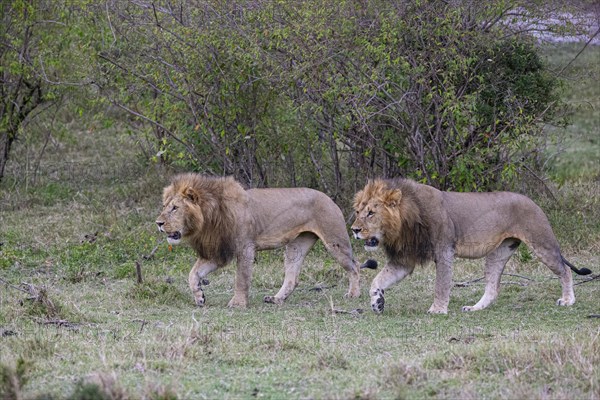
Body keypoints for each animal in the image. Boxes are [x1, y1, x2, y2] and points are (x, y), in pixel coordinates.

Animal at [156, 173, 366, 308]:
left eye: (175, 208)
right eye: (165, 206)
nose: (158, 223)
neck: (209, 217)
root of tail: (329, 198)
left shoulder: (245, 248)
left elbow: (241, 279)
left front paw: (238, 303)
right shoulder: (218, 252)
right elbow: (193, 274)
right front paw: (200, 297)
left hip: (335, 241)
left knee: (355, 266)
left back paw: (354, 294)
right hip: (296, 246)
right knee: (292, 277)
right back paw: (276, 299)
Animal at [352, 177, 592, 312]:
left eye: (371, 213)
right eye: (358, 211)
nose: (354, 230)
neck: (405, 223)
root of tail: (533, 202)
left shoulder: (444, 250)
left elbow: (441, 284)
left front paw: (437, 310)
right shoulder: (404, 259)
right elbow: (377, 280)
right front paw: (377, 303)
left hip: (541, 243)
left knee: (564, 270)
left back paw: (568, 300)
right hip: (498, 253)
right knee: (493, 288)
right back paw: (475, 308)